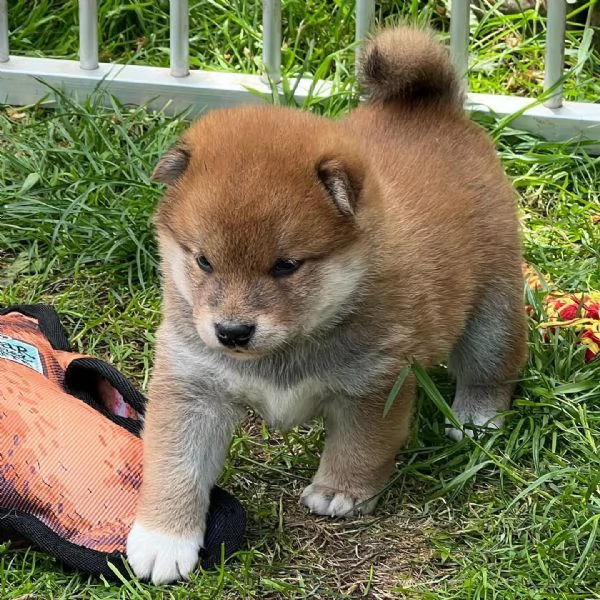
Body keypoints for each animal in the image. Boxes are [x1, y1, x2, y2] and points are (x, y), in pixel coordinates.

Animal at [125, 25, 524, 584]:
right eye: (203, 261)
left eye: (286, 266)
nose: (231, 332)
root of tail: (429, 105)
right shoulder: (192, 387)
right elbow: (175, 465)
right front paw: (163, 539)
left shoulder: (374, 386)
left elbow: (361, 447)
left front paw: (340, 491)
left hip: (494, 309)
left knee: (492, 369)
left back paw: (476, 418)